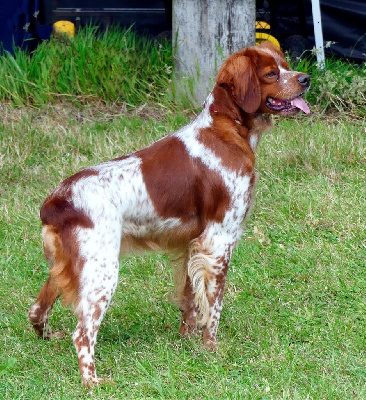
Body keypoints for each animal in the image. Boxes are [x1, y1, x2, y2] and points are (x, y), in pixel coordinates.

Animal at [28, 41, 310, 384]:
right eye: (271, 73)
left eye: (286, 65)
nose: (306, 79)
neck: (226, 129)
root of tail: (57, 201)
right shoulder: (219, 240)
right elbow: (213, 307)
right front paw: (212, 349)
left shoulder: (192, 243)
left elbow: (190, 301)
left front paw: (187, 342)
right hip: (102, 270)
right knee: (82, 333)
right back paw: (93, 382)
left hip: (67, 266)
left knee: (36, 311)